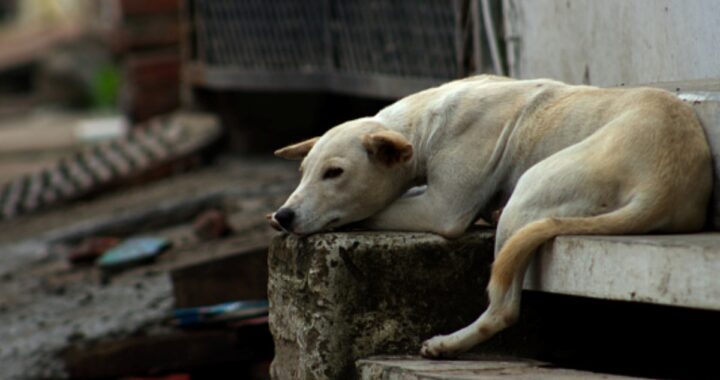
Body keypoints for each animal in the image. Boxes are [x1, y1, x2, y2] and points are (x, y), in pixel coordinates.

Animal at [272, 75, 716, 358]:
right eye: (303, 171)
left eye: (335, 173)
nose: (282, 215)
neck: (423, 123)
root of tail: (662, 186)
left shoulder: (442, 208)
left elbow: (377, 210)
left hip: (530, 191)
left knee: (504, 309)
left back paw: (448, 344)